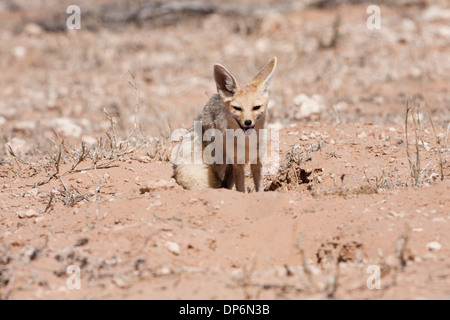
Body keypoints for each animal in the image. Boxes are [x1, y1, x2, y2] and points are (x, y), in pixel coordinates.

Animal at [173, 57, 276, 192]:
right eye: (237, 108)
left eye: (256, 107)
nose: (248, 122)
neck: (247, 143)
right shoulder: (238, 164)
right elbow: (240, 188)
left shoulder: (257, 161)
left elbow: (259, 187)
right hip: (220, 158)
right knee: (221, 180)